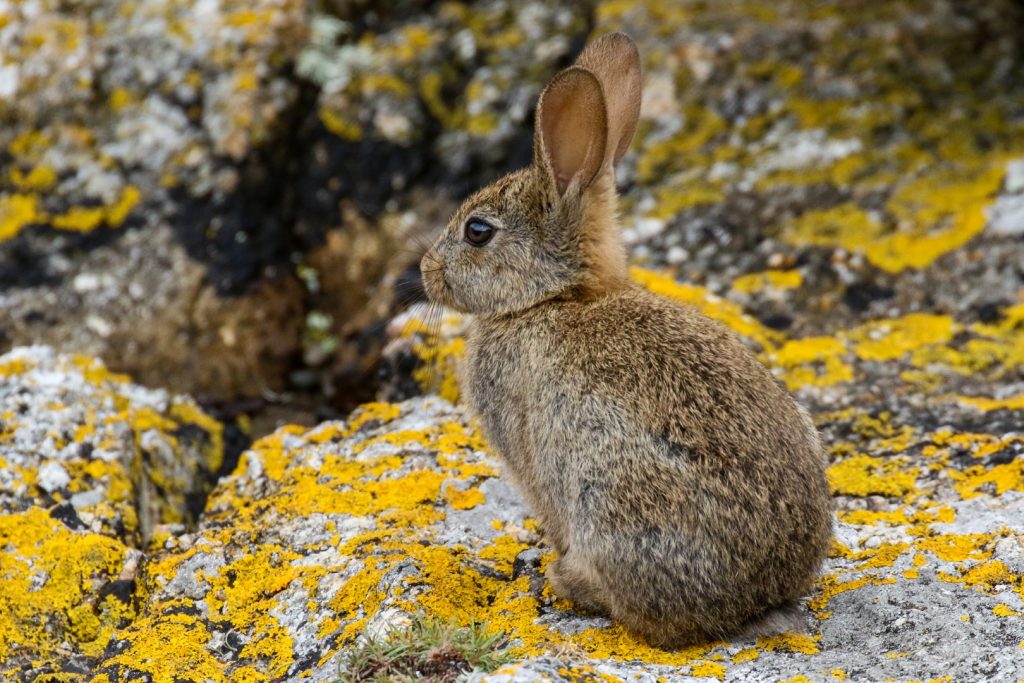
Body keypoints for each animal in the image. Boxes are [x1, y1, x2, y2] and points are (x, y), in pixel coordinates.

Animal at [421, 31, 831, 651]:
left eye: (477, 231)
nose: (425, 272)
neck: (555, 298)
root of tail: (756, 602)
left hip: (611, 500)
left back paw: (561, 579)